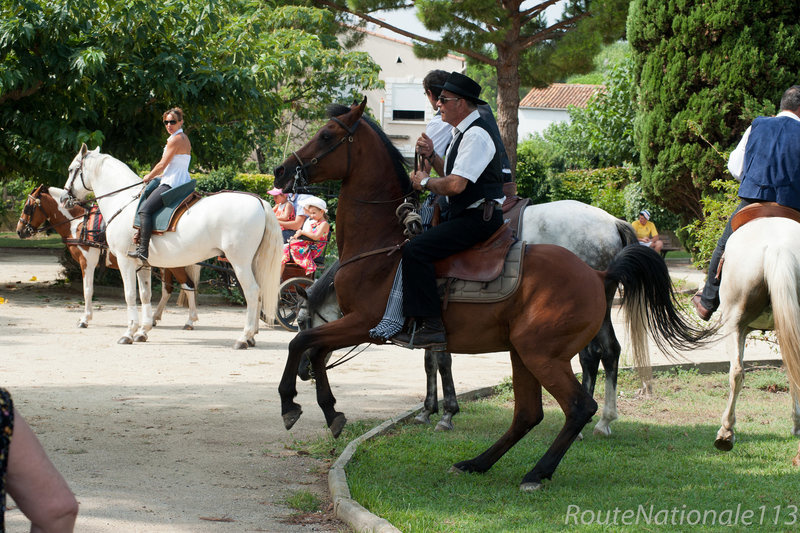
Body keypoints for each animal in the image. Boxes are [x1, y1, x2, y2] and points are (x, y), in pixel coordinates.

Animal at [16, 185, 200, 330]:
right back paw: (155, 318)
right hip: (166, 265)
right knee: (167, 289)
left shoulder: (87, 262)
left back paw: (190, 320)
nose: (19, 231)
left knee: (188, 285)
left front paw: (85, 319)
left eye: (27, 207)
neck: (79, 224)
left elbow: (88, 290)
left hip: (175, 265)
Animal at [65, 143, 284, 348]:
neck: (123, 202)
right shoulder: (142, 265)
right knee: (257, 293)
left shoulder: (124, 260)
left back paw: (243, 337)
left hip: (239, 263)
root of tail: (258, 201)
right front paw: (143, 331)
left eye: (71, 169)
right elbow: (145, 295)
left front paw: (128, 333)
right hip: (252, 263)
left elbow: (129, 295)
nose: (66, 199)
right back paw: (252, 336)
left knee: (252, 292)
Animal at [296, 202, 640, 434]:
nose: (302, 371)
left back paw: (595, 420)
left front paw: (446, 413)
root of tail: (612, 221)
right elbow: (431, 360)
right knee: (606, 352)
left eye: (300, 322)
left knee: (594, 354)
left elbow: (441, 360)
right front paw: (428, 410)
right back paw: (601, 419)